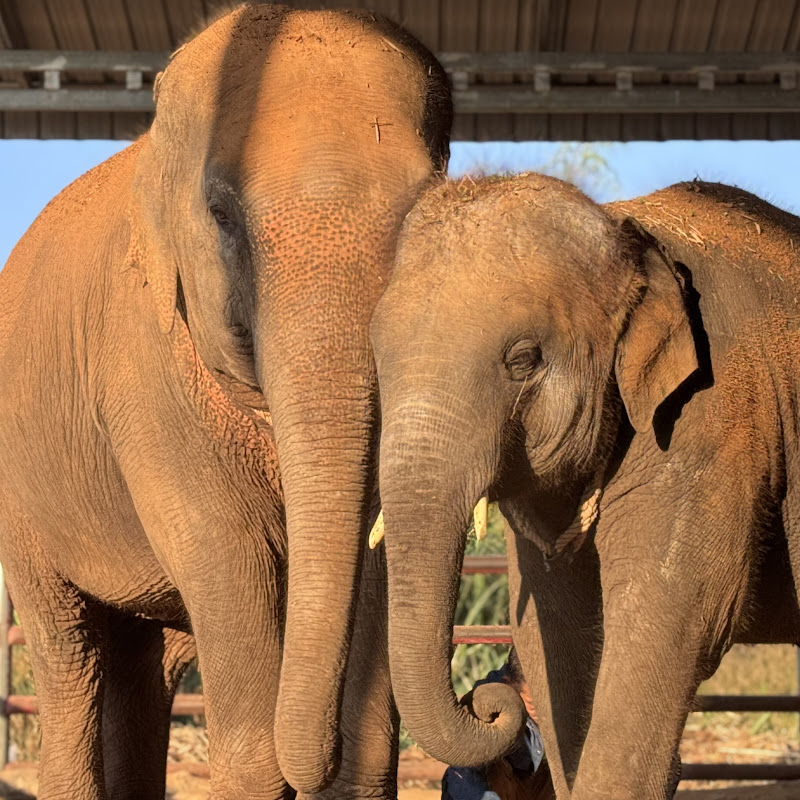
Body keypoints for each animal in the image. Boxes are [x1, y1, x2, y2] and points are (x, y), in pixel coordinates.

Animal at [0, 5, 451, 800]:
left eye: (423, 210)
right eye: (220, 213)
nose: (317, 760)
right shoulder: (142, 369)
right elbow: (227, 552)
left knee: (147, 665)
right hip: (21, 504)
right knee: (69, 655)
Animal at [369, 174, 800, 800]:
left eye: (523, 359)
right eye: (376, 357)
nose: (488, 701)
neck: (630, 234)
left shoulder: (713, 425)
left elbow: (667, 617)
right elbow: (552, 630)